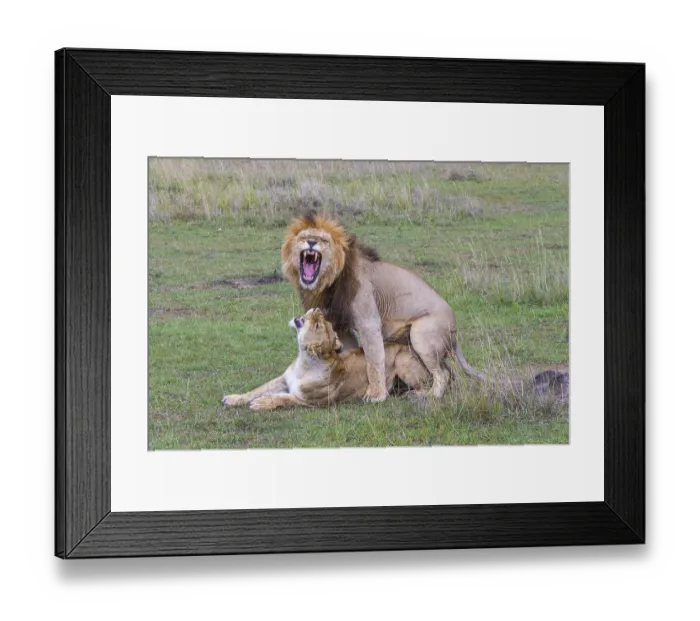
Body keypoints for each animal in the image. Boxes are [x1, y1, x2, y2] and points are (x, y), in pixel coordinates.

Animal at [222, 308, 428, 410]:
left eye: (318, 325)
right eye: (325, 323)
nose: (318, 308)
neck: (303, 363)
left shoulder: (311, 402)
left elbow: (283, 398)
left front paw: (262, 403)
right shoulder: (283, 379)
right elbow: (257, 390)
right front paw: (233, 398)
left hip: (403, 364)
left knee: (429, 384)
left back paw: (411, 394)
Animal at [281, 212, 485, 401]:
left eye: (323, 240)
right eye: (303, 237)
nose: (311, 242)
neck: (328, 282)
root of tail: (455, 328)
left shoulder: (369, 322)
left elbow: (373, 359)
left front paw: (376, 395)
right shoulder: (340, 325)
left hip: (421, 335)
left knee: (442, 373)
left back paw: (428, 395)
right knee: (446, 370)